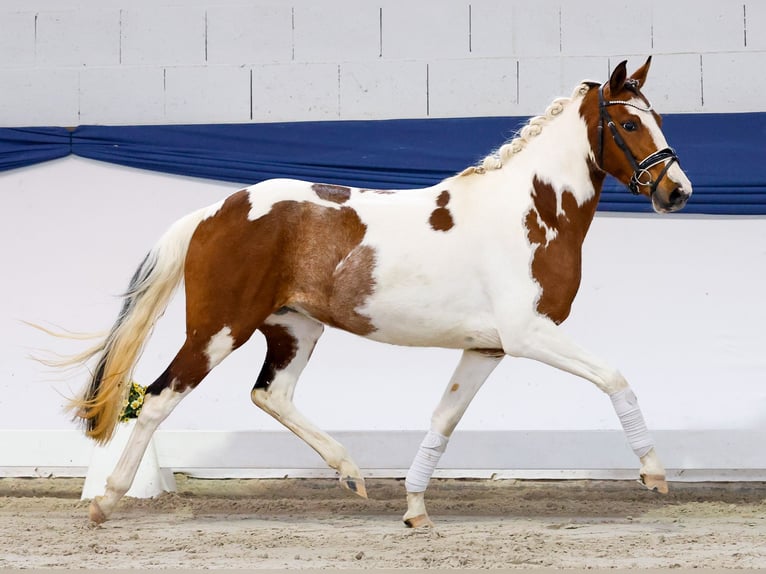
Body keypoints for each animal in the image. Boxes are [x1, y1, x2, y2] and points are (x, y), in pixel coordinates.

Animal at [67, 57, 691, 527]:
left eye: (659, 117)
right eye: (629, 125)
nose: (677, 192)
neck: (532, 211)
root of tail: (215, 211)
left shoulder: (487, 346)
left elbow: (443, 420)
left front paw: (415, 510)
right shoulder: (529, 334)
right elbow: (615, 378)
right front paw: (654, 474)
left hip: (295, 327)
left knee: (271, 394)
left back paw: (351, 473)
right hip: (219, 328)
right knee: (157, 398)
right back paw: (105, 501)